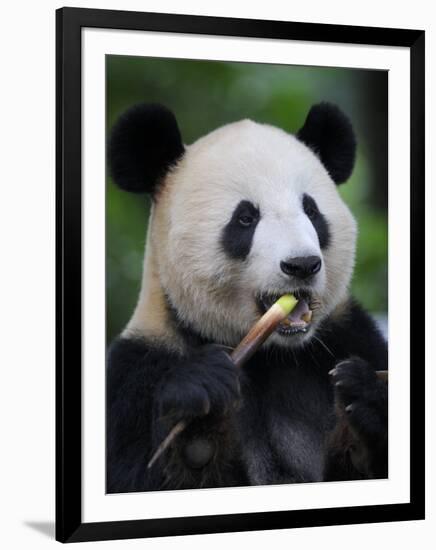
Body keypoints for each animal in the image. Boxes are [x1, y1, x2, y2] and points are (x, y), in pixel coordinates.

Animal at [106, 103, 388, 496]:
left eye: (311, 211)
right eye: (245, 218)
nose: (302, 264)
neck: (269, 354)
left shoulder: (349, 337)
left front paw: (362, 399)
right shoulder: (136, 374)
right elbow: (133, 472)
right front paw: (197, 412)